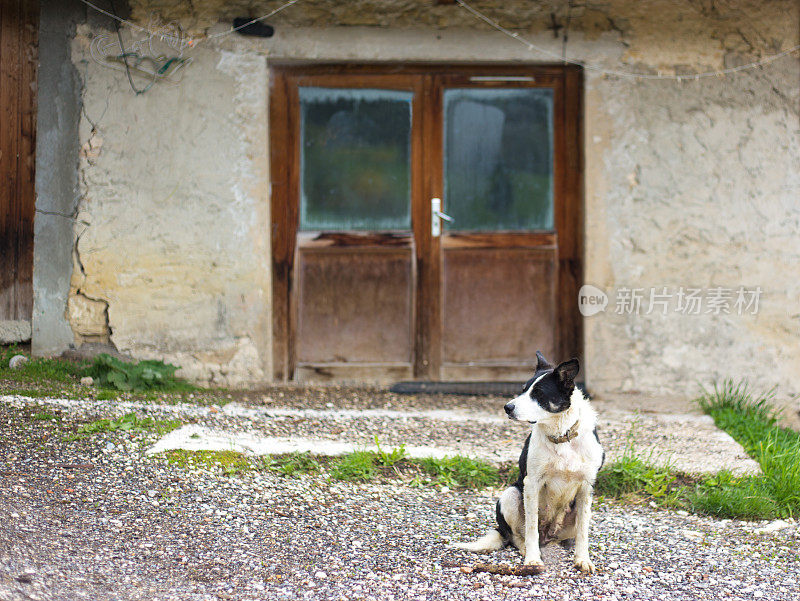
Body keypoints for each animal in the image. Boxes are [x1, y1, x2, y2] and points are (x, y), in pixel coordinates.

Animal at [454, 352, 604, 572]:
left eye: (539, 393)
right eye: (523, 389)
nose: (507, 407)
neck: (561, 437)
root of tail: (548, 536)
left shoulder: (586, 488)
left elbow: (583, 533)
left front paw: (582, 559)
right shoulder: (531, 483)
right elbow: (531, 528)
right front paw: (533, 560)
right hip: (510, 494)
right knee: (517, 536)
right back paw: (527, 549)